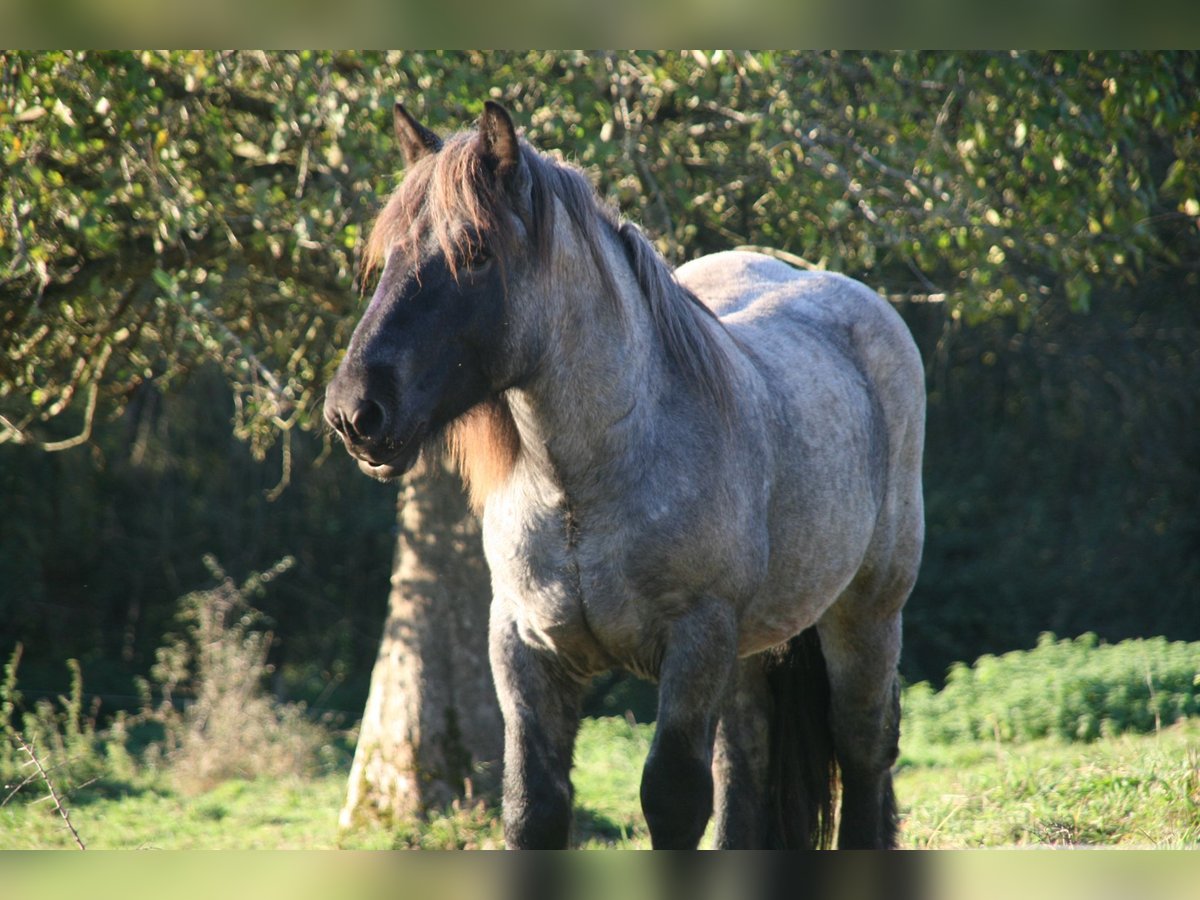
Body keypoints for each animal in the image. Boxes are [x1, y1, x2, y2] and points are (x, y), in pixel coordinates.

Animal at [328, 102, 926, 849]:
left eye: (476, 253)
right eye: (386, 258)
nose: (354, 411)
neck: (581, 486)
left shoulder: (694, 643)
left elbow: (671, 799)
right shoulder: (524, 648)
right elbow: (533, 806)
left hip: (866, 615)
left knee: (864, 751)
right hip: (754, 649)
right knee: (746, 765)